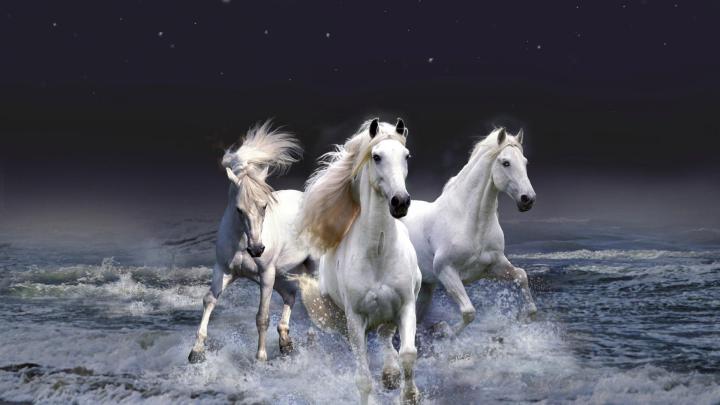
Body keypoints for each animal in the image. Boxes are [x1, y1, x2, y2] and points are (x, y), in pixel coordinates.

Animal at [188, 120, 318, 363]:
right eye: (239, 209)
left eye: (264, 206)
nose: (257, 249)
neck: (242, 242)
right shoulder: (224, 270)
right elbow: (209, 300)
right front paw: (196, 351)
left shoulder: (265, 275)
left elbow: (262, 317)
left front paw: (261, 358)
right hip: (282, 274)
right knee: (291, 295)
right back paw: (286, 342)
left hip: (309, 268)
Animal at [296, 118, 422, 404]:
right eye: (376, 157)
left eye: (407, 156)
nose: (400, 202)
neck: (377, 253)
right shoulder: (355, 319)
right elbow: (363, 378)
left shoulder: (406, 305)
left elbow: (408, 354)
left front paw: (410, 395)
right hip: (342, 320)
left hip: (389, 314)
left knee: (386, 339)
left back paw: (390, 374)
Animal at [401, 127, 537, 336]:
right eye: (505, 162)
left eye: (525, 162)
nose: (528, 199)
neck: (470, 223)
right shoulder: (446, 271)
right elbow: (469, 312)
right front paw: (444, 330)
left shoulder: (493, 266)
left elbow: (521, 276)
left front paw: (525, 316)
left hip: (425, 286)